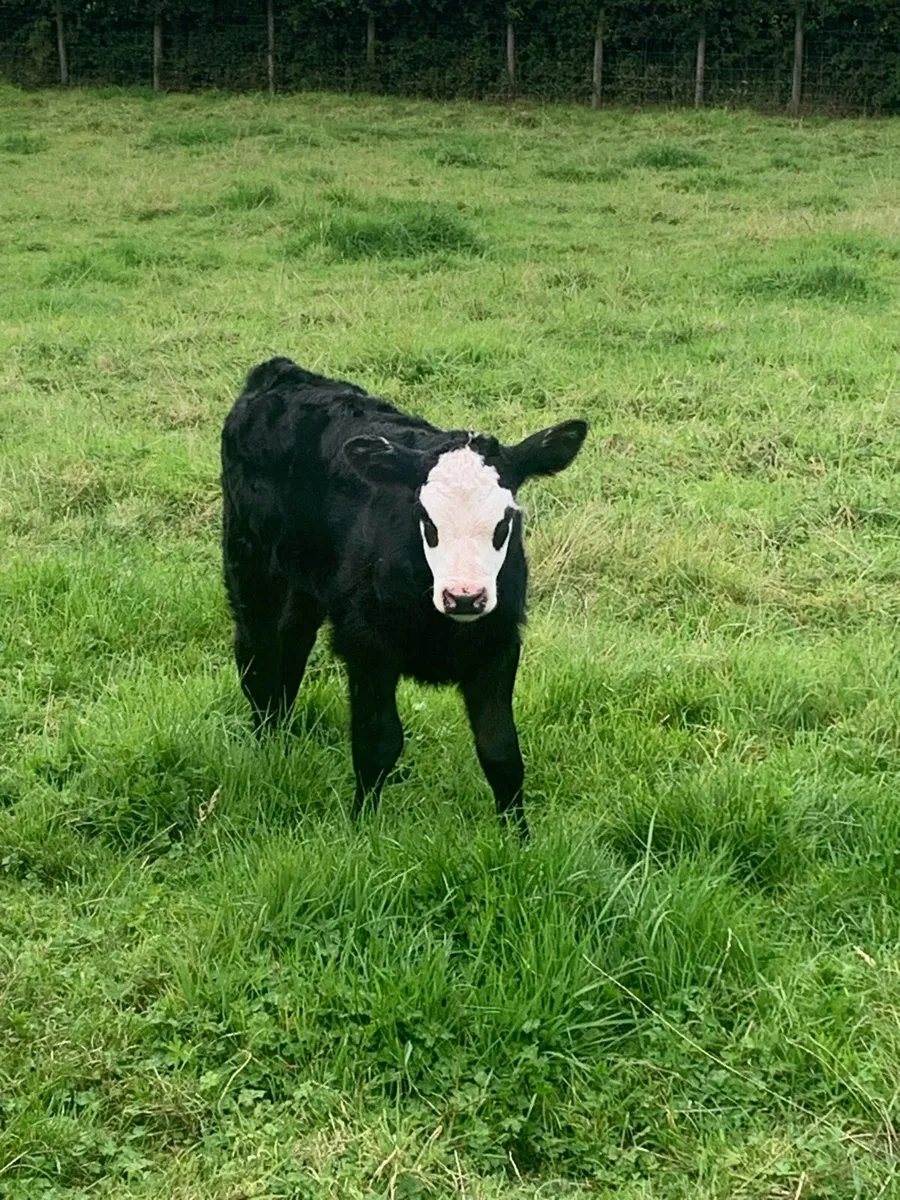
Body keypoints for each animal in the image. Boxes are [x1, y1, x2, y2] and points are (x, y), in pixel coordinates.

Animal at [221, 356, 588, 835]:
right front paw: (360, 830)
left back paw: (279, 734)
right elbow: (378, 743)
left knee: (292, 645)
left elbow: (502, 752)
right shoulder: (366, 643)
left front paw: (518, 837)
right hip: (249, 558)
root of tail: (283, 372)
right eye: (427, 519)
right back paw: (264, 743)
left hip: (307, 582)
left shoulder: (498, 643)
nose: (464, 597)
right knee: (256, 652)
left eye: (505, 520)